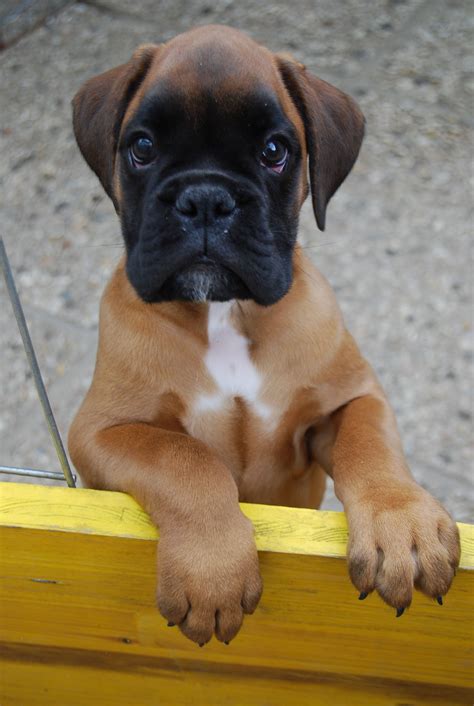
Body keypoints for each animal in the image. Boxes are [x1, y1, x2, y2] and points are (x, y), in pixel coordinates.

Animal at [68, 23, 462, 644]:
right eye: (142, 148)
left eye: (274, 152)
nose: (206, 198)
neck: (225, 312)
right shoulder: (102, 430)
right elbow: (181, 457)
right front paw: (211, 569)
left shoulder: (352, 400)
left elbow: (370, 446)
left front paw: (403, 524)